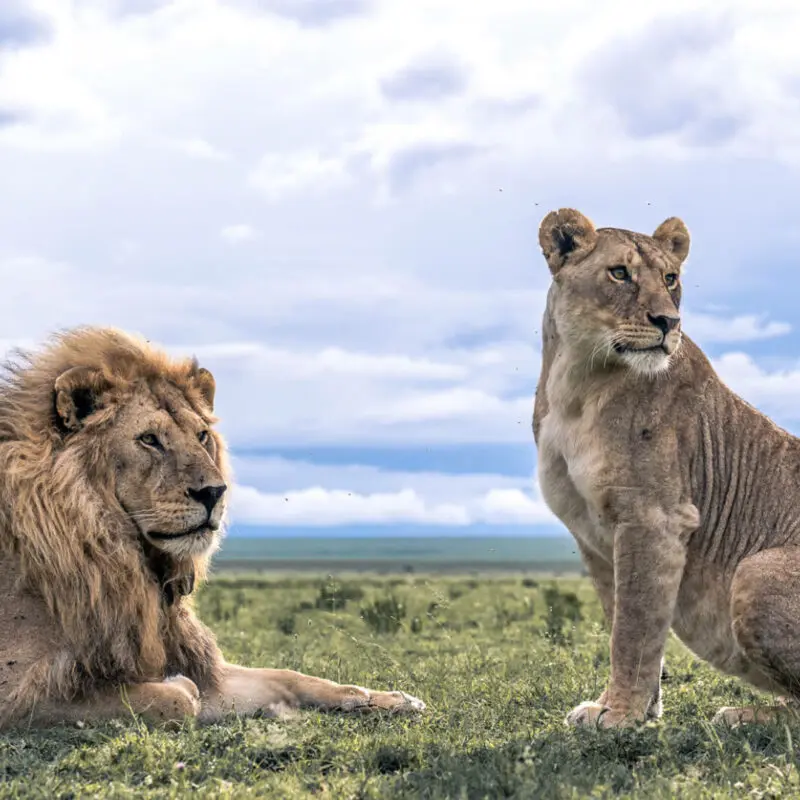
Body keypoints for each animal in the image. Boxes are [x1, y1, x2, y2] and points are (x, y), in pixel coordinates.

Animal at [0, 327, 425, 729]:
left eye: (201, 435)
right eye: (149, 439)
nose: (214, 492)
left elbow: (290, 676)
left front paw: (390, 699)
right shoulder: (19, 693)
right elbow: (178, 700)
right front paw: (174, 684)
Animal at [534, 208, 800, 728]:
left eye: (671, 278)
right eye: (620, 273)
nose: (667, 321)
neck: (578, 380)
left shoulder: (653, 518)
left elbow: (633, 627)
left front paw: (620, 714)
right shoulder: (592, 533)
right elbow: (623, 618)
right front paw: (632, 707)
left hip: (755, 571)